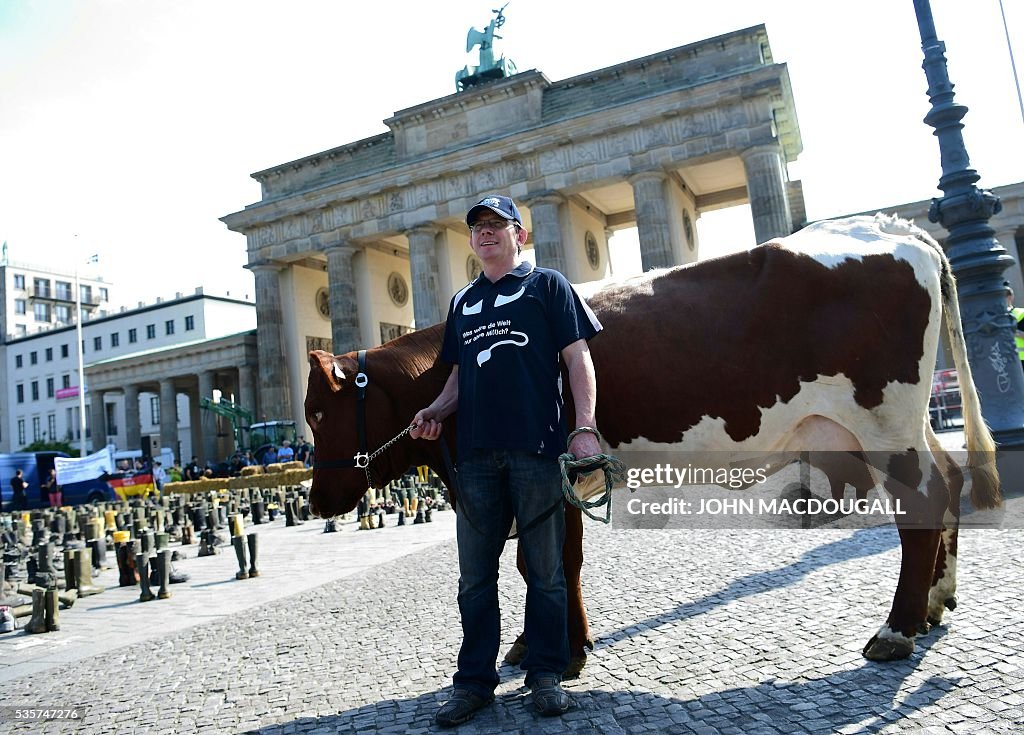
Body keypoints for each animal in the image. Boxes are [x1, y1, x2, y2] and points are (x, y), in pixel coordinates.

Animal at [303, 212, 999, 675]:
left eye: (316, 412)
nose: (315, 501)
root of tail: (892, 227)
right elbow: (545, 561)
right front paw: (542, 644)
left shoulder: (554, 470)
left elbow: (549, 562)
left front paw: (560, 652)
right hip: (903, 423)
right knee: (949, 482)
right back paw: (935, 603)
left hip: (884, 422)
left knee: (923, 504)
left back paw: (897, 629)